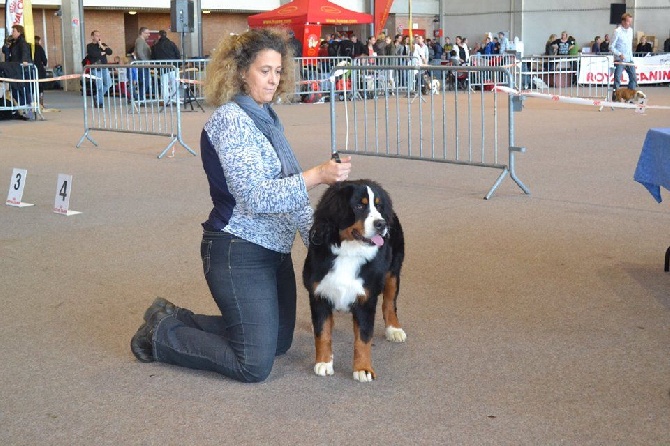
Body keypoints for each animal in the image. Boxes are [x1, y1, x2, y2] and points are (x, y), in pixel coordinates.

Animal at [304, 179, 406, 382]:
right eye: (359, 205)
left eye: (378, 206)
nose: (381, 224)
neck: (349, 252)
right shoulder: (319, 294)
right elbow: (322, 332)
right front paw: (324, 362)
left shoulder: (366, 298)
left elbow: (363, 338)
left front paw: (363, 369)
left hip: (393, 271)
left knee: (389, 302)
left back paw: (394, 329)